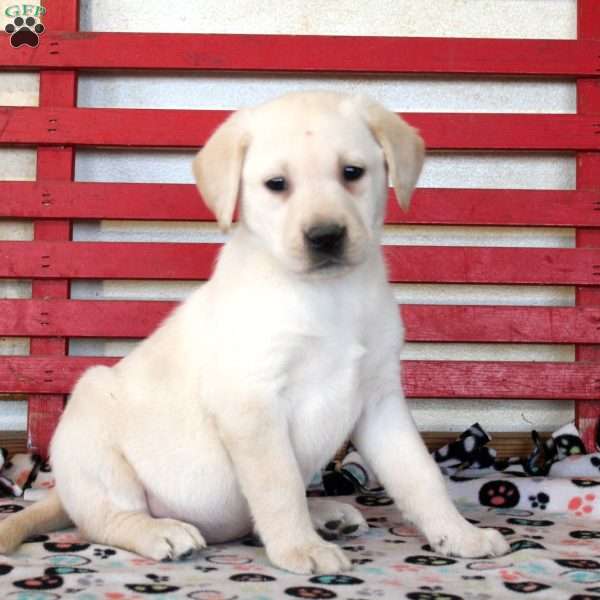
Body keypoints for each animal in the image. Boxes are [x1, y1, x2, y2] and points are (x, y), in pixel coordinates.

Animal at [0, 92, 508, 572]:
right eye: (276, 185)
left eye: (352, 172)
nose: (325, 236)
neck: (328, 296)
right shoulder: (253, 403)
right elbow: (278, 485)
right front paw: (301, 549)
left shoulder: (380, 401)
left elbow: (420, 475)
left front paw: (459, 535)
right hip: (94, 430)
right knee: (104, 520)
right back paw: (161, 531)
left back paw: (326, 514)